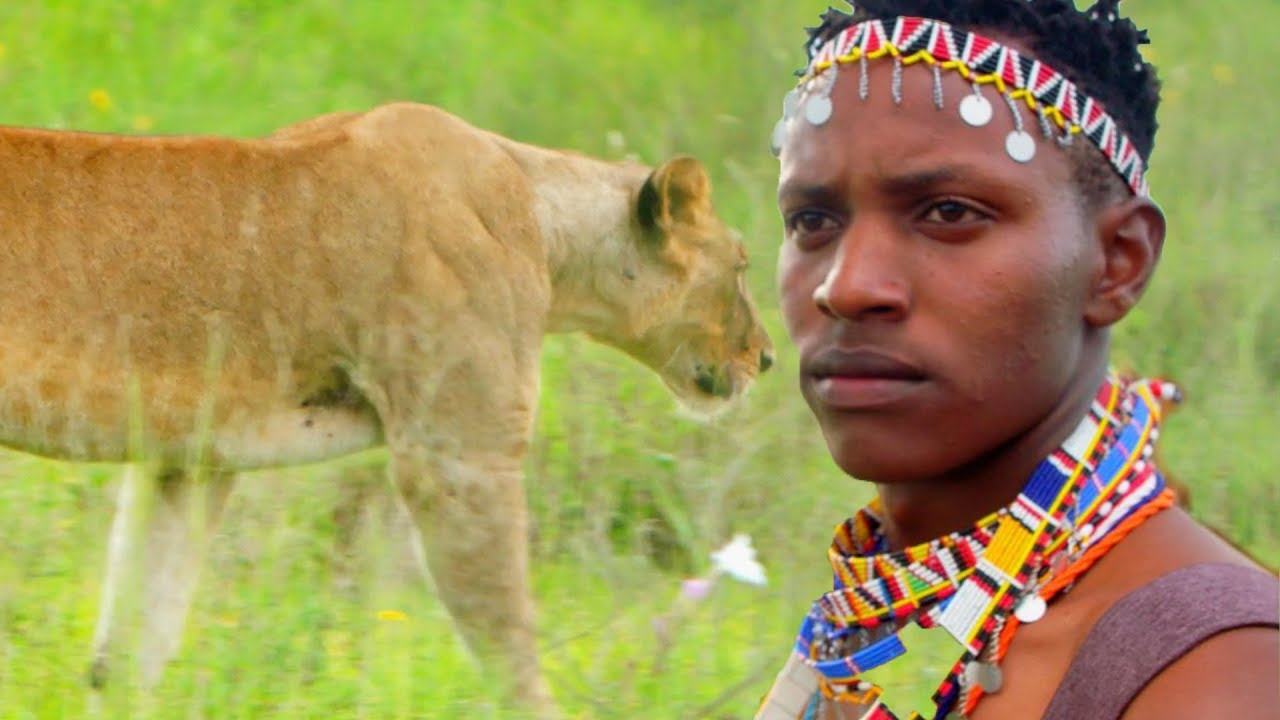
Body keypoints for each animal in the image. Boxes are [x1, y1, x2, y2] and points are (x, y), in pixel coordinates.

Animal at [0, 101, 772, 714]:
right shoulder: (458, 457)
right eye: (742, 265)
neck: (546, 223)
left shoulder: (189, 458)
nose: (766, 357)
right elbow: (508, 641)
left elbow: (132, 644)